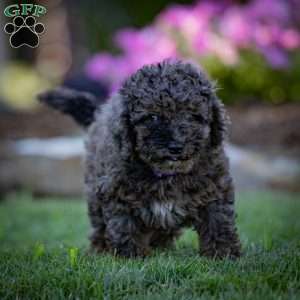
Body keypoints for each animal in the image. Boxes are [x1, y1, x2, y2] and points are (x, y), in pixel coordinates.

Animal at [39, 60, 241, 258]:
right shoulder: (116, 190)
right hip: (94, 190)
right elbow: (124, 224)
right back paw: (101, 248)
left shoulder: (215, 186)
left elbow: (218, 219)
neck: (167, 175)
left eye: (192, 116)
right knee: (99, 223)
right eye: (152, 117)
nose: (175, 147)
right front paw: (130, 255)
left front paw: (223, 253)